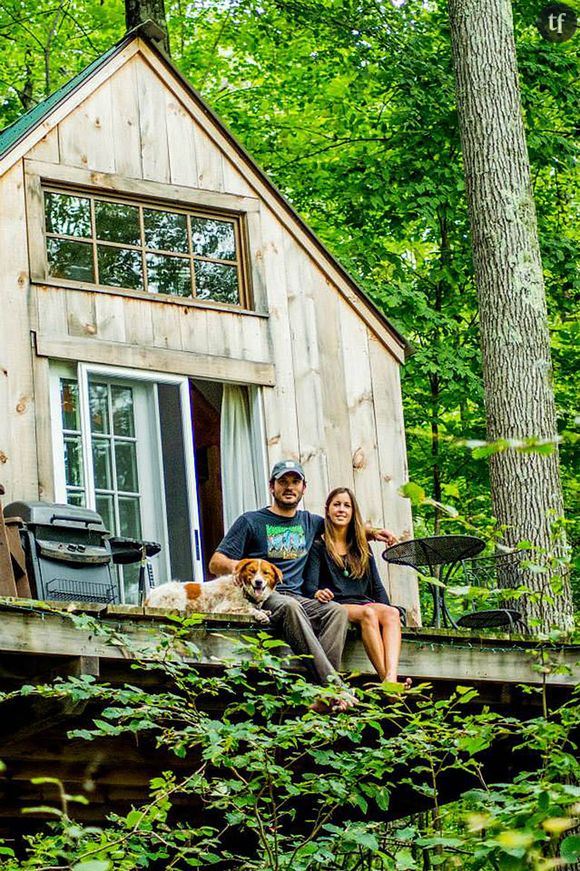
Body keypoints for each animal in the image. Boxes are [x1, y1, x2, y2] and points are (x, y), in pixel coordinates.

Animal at [144, 560, 282, 620]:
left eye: (266, 573)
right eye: (252, 571)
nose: (258, 582)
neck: (243, 590)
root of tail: (147, 598)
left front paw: (264, 611)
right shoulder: (222, 609)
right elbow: (248, 609)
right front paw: (260, 614)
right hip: (176, 596)